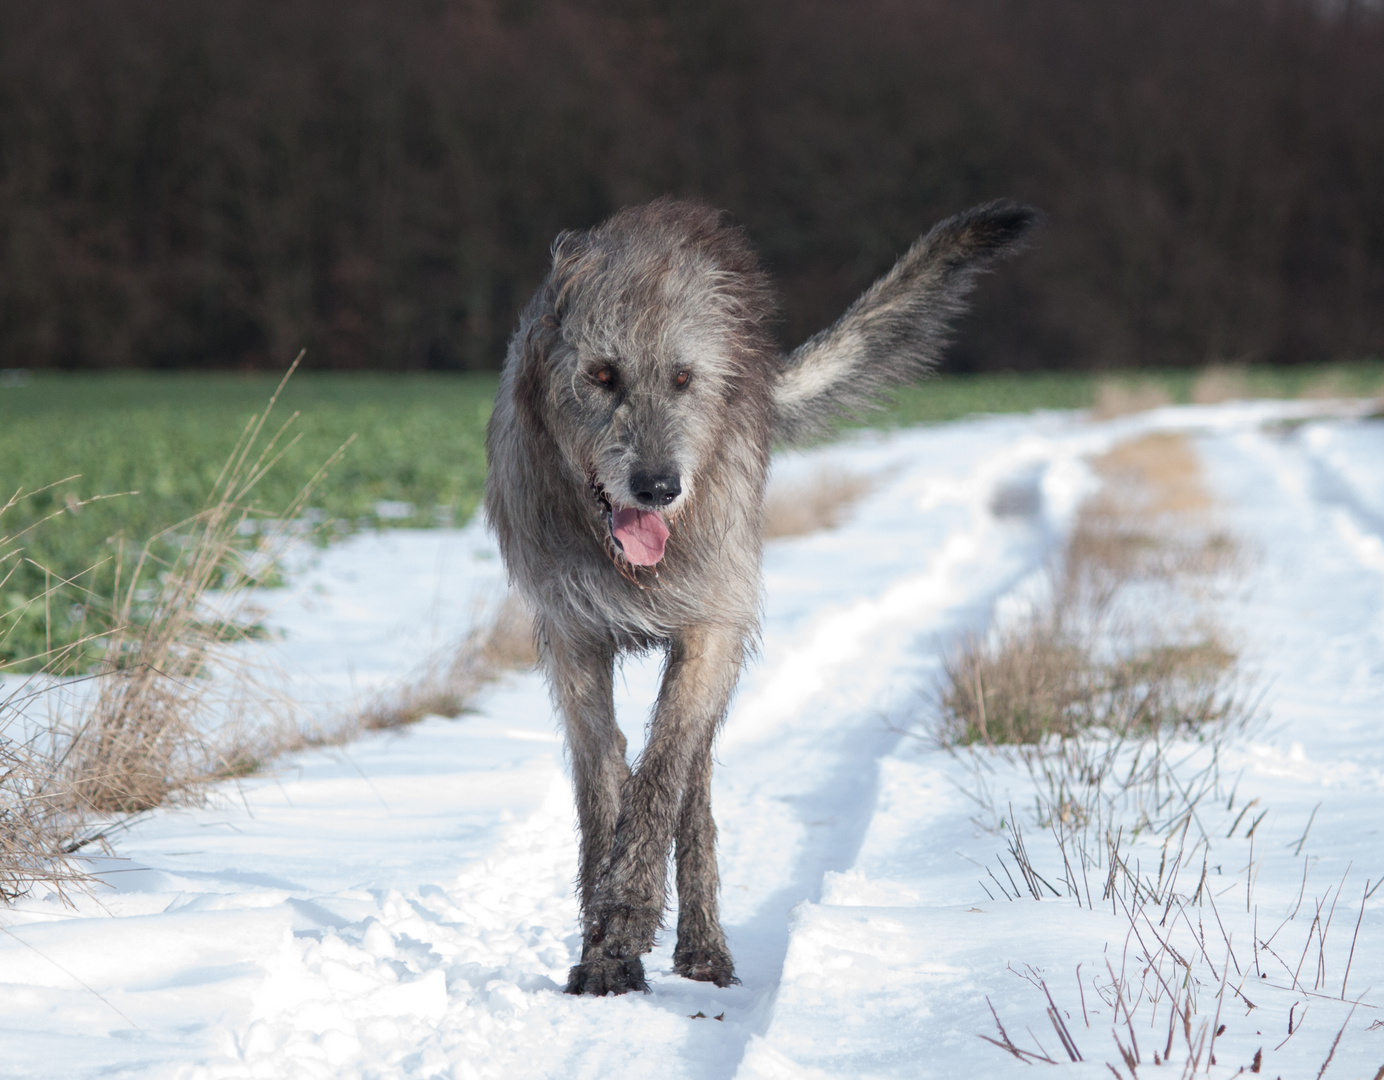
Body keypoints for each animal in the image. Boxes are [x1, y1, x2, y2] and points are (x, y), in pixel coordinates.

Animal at [487, 196, 1040, 996]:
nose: (658, 486)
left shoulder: (710, 628)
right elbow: (603, 786)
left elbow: (661, 776)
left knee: (690, 780)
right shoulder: (573, 640)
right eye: (601, 374)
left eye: (683, 378)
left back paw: (703, 946)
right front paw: (603, 948)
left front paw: (626, 917)